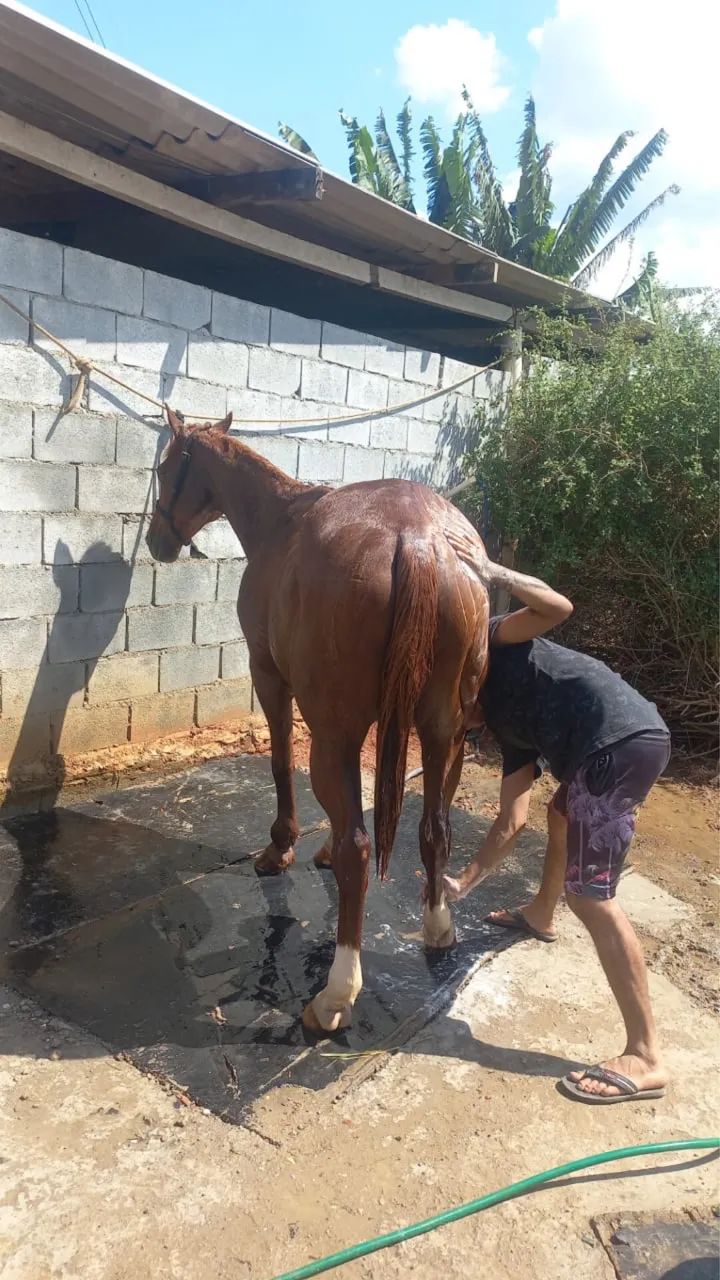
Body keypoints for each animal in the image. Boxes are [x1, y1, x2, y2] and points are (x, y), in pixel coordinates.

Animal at [146, 410, 490, 1034]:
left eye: (166, 469)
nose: (158, 541)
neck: (280, 521)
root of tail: (419, 541)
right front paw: (320, 846)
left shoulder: (269, 677)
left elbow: (282, 762)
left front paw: (279, 847)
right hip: (444, 736)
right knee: (435, 827)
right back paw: (438, 927)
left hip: (336, 732)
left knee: (361, 845)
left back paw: (336, 993)